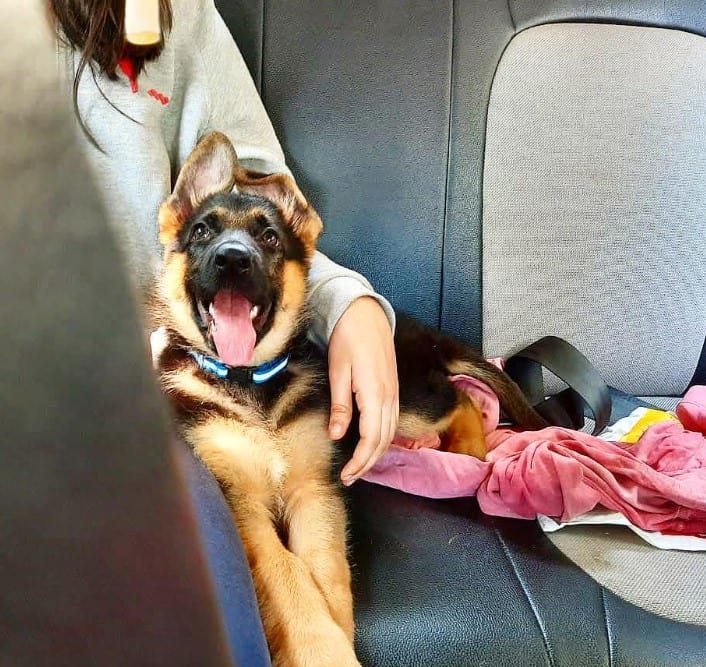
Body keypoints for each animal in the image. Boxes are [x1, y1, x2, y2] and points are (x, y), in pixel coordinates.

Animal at [153, 132, 544, 667]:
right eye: (200, 232)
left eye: (269, 238)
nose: (232, 258)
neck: (252, 382)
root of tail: (429, 338)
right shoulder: (244, 506)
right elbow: (290, 574)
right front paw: (320, 646)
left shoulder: (314, 488)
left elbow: (325, 571)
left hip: (399, 401)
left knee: (461, 399)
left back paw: (469, 451)